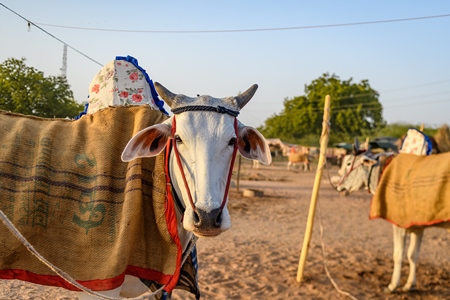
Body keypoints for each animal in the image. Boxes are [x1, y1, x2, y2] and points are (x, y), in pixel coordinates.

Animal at [336, 150, 448, 292]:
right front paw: (409, 285)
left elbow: (398, 254)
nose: (338, 187)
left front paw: (392, 286)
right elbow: (413, 255)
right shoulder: (418, 226)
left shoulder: (398, 224)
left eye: (349, 163)